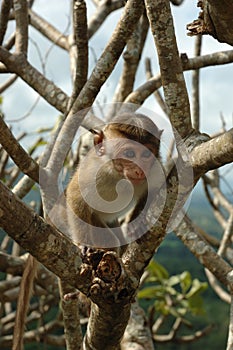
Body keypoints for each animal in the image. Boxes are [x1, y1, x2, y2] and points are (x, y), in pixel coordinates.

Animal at [65, 112, 164, 249]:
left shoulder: (156, 170)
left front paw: (136, 222)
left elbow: (155, 190)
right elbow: (76, 197)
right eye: (129, 154)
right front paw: (84, 244)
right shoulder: (93, 170)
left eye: (146, 154)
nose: (139, 170)